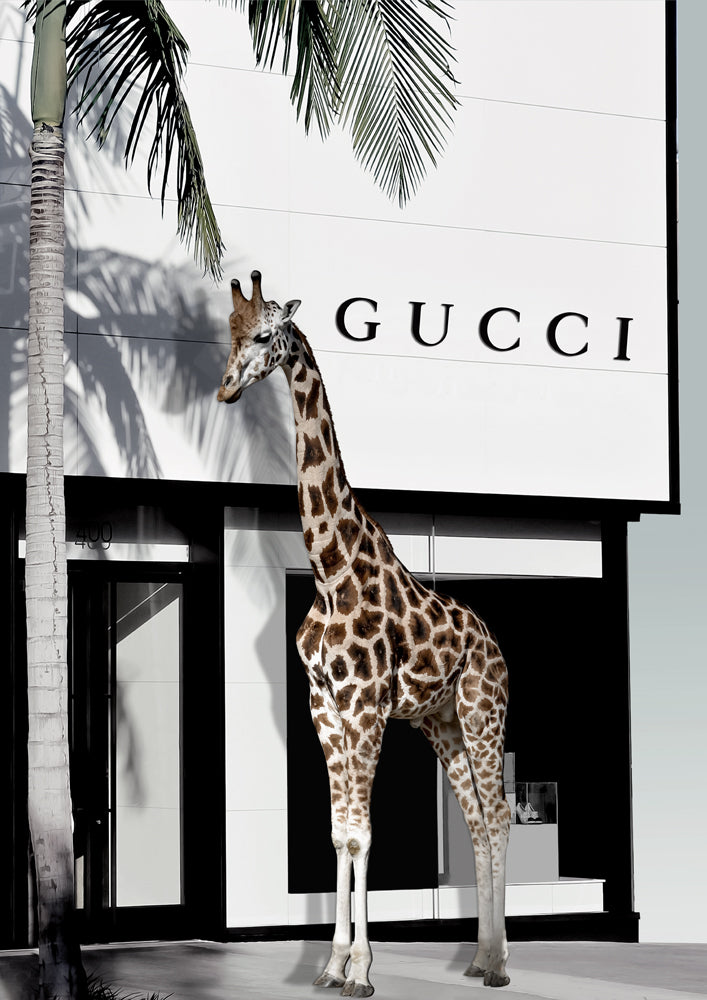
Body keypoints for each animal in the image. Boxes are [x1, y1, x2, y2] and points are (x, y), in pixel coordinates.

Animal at [217, 272, 511, 994]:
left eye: (264, 335)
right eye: (228, 333)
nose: (226, 388)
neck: (329, 567)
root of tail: (494, 645)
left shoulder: (366, 706)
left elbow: (362, 835)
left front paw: (359, 970)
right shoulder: (323, 706)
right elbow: (337, 833)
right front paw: (328, 965)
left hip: (482, 713)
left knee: (496, 817)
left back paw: (498, 966)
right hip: (442, 725)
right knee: (476, 822)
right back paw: (478, 959)